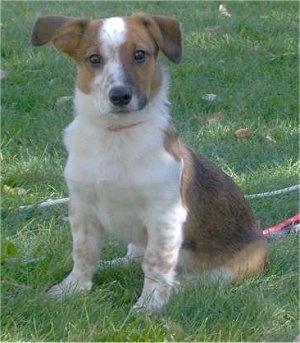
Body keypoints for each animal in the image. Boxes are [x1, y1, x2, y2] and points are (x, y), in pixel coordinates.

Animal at [31, 12, 268, 314]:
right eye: (94, 59)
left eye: (140, 55)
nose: (120, 96)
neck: (115, 135)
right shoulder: (82, 208)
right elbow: (84, 254)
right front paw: (72, 289)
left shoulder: (164, 216)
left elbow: (156, 265)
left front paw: (148, 306)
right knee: (132, 259)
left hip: (247, 258)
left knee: (200, 278)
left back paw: (180, 285)